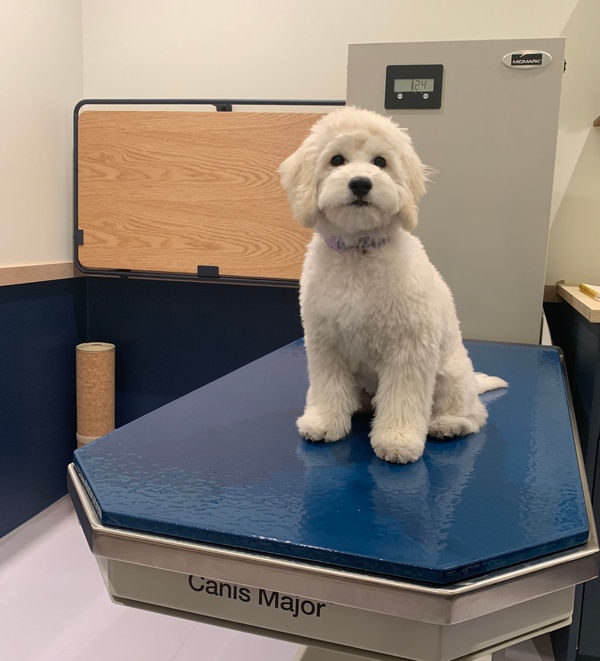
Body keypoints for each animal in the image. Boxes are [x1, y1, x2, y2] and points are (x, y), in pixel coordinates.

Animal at [278, 105, 506, 462]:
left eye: (380, 162)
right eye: (336, 160)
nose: (360, 183)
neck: (359, 251)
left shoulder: (408, 348)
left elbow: (402, 397)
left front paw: (398, 440)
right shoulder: (326, 343)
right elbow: (328, 387)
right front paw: (324, 422)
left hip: (451, 376)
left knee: (474, 414)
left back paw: (448, 424)